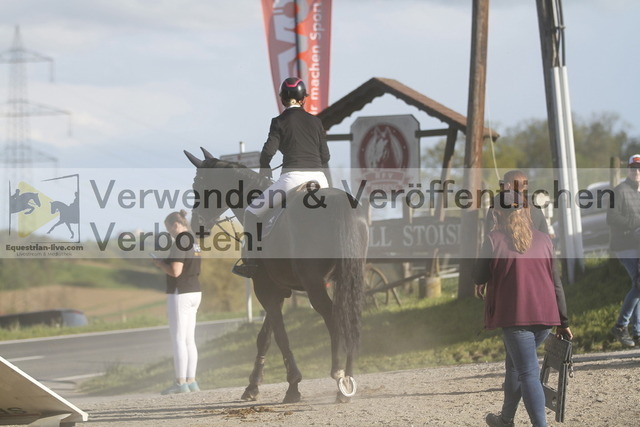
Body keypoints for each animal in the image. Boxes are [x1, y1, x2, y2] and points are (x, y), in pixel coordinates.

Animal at [185, 148, 369, 404]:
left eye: (197, 184)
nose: (196, 225)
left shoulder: (265, 289)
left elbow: (280, 336)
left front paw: (293, 386)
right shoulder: (277, 290)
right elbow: (265, 337)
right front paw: (253, 386)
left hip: (314, 285)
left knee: (334, 317)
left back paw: (339, 374)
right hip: (347, 278)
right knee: (349, 318)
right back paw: (348, 380)